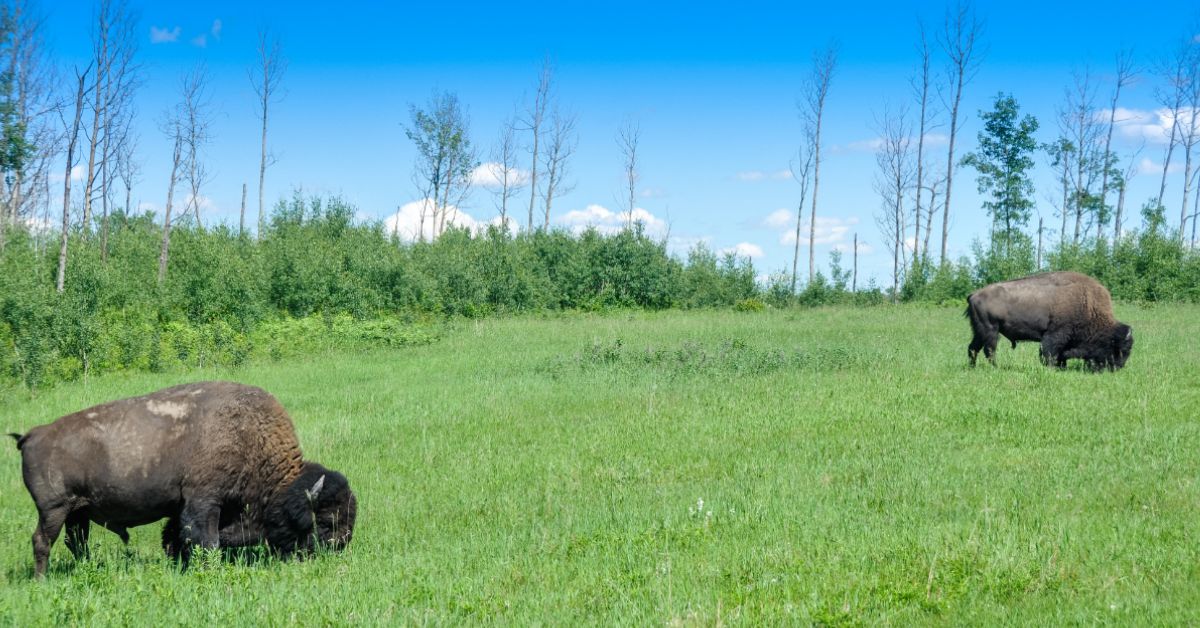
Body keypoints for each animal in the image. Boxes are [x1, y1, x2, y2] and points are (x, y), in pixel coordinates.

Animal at [9, 381, 356, 577]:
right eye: (326, 522)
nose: (339, 547)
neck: (250, 437)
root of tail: (32, 435)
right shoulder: (203, 502)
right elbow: (205, 540)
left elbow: (179, 536)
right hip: (53, 510)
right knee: (42, 541)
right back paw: (42, 579)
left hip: (77, 511)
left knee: (77, 542)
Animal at [966, 271, 1133, 371]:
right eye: (1121, 350)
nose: (1117, 368)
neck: (1088, 304)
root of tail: (974, 294)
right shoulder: (1054, 335)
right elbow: (1049, 353)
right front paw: (1052, 368)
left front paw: (1061, 367)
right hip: (991, 331)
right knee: (989, 350)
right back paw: (995, 367)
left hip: (980, 332)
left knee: (973, 348)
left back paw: (973, 367)